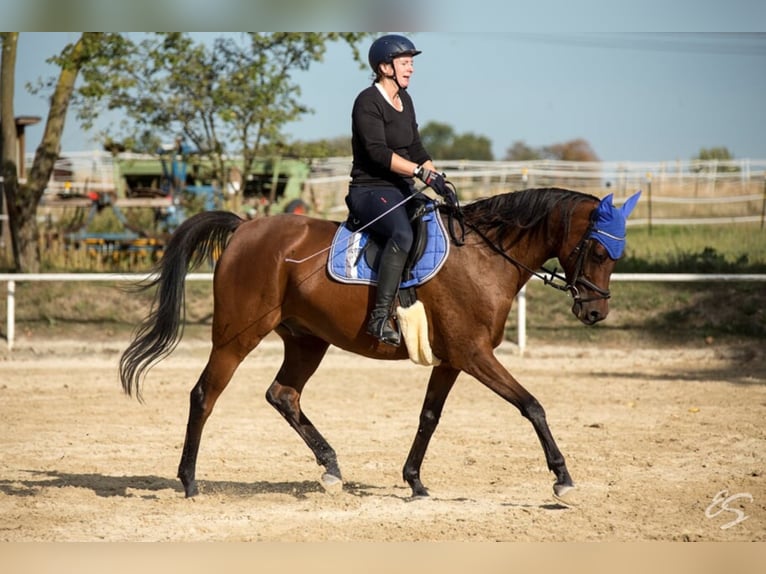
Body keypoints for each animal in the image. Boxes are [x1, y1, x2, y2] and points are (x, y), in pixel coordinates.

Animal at [118, 188, 640, 504]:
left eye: (616, 255)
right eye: (597, 251)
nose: (595, 313)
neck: (485, 256)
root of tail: (246, 227)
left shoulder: (452, 360)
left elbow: (429, 417)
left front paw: (415, 481)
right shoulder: (475, 356)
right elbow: (532, 406)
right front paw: (562, 478)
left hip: (307, 340)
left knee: (283, 395)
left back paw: (330, 468)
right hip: (236, 336)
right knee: (204, 395)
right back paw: (189, 481)